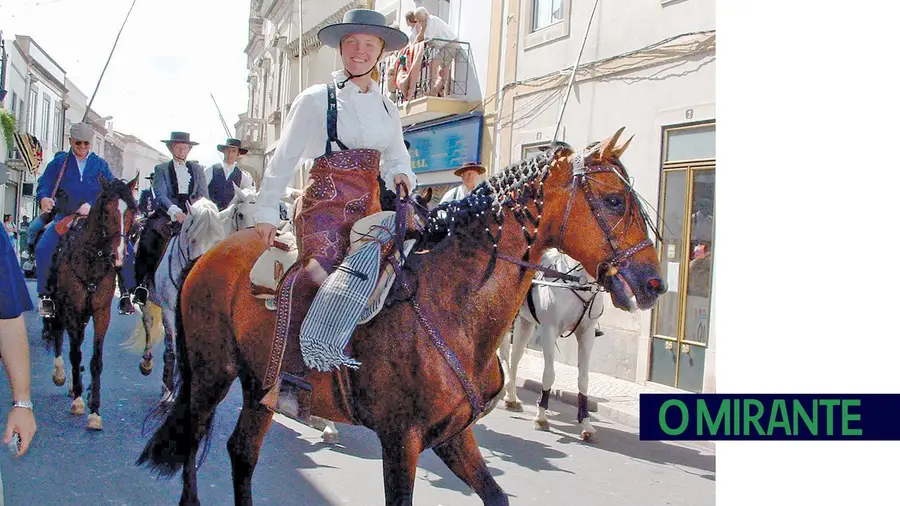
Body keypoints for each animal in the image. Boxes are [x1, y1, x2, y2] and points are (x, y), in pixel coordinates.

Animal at [42, 176, 139, 428]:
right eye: (106, 211)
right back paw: (61, 375)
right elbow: (75, 353)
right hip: (60, 310)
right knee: (59, 337)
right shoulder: (71, 309)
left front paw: (95, 411)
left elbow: (96, 360)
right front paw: (78, 400)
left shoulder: (101, 312)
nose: (118, 256)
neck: (91, 261)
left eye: (132, 211)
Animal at [125, 198, 230, 404]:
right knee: (148, 323)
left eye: (217, 241)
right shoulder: (169, 310)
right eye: (193, 239)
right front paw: (170, 392)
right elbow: (173, 347)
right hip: (146, 300)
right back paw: (147, 365)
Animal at [496, 249, 608, 442]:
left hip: (524, 321)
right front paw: (541, 417)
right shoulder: (549, 330)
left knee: (515, 356)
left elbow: (583, 378)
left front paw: (586, 424)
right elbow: (549, 374)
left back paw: (512, 398)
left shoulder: (586, 334)